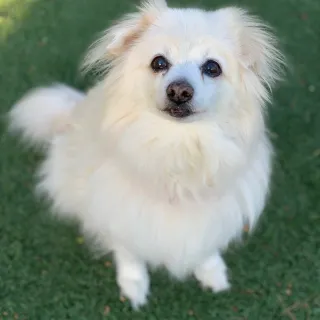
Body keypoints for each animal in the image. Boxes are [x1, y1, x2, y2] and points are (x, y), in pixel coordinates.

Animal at [10, 0, 284, 308]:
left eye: (212, 67)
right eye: (159, 63)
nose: (179, 91)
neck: (178, 147)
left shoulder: (212, 213)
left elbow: (206, 245)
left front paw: (213, 274)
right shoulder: (120, 211)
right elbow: (129, 252)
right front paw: (134, 286)